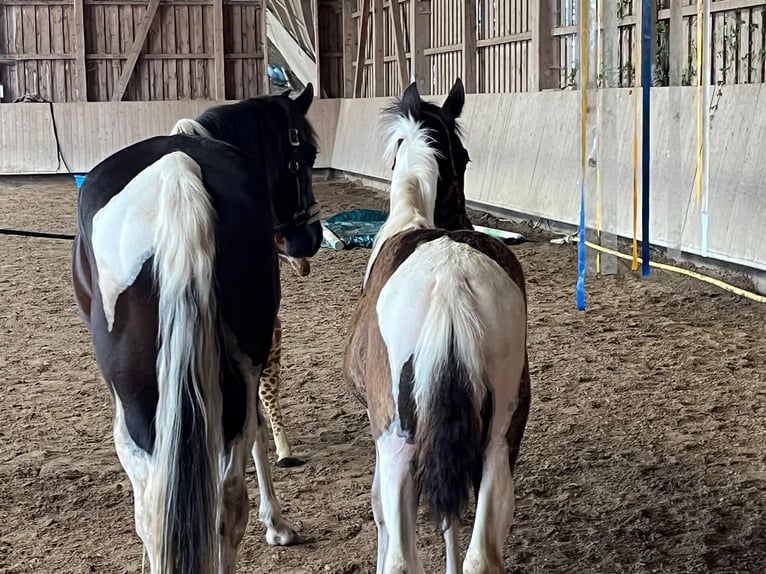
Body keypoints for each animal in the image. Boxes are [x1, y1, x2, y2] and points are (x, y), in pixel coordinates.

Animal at [72, 85, 320, 574]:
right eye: (306, 154)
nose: (312, 238)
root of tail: (179, 176)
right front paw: (277, 524)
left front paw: (277, 525)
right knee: (218, 498)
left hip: (136, 400)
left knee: (169, 507)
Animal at [344, 80, 532, 574]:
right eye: (463, 157)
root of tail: (451, 281)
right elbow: (451, 524)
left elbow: (381, 519)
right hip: (498, 445)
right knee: (480, 556)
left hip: (397, 448)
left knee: (401, 560)